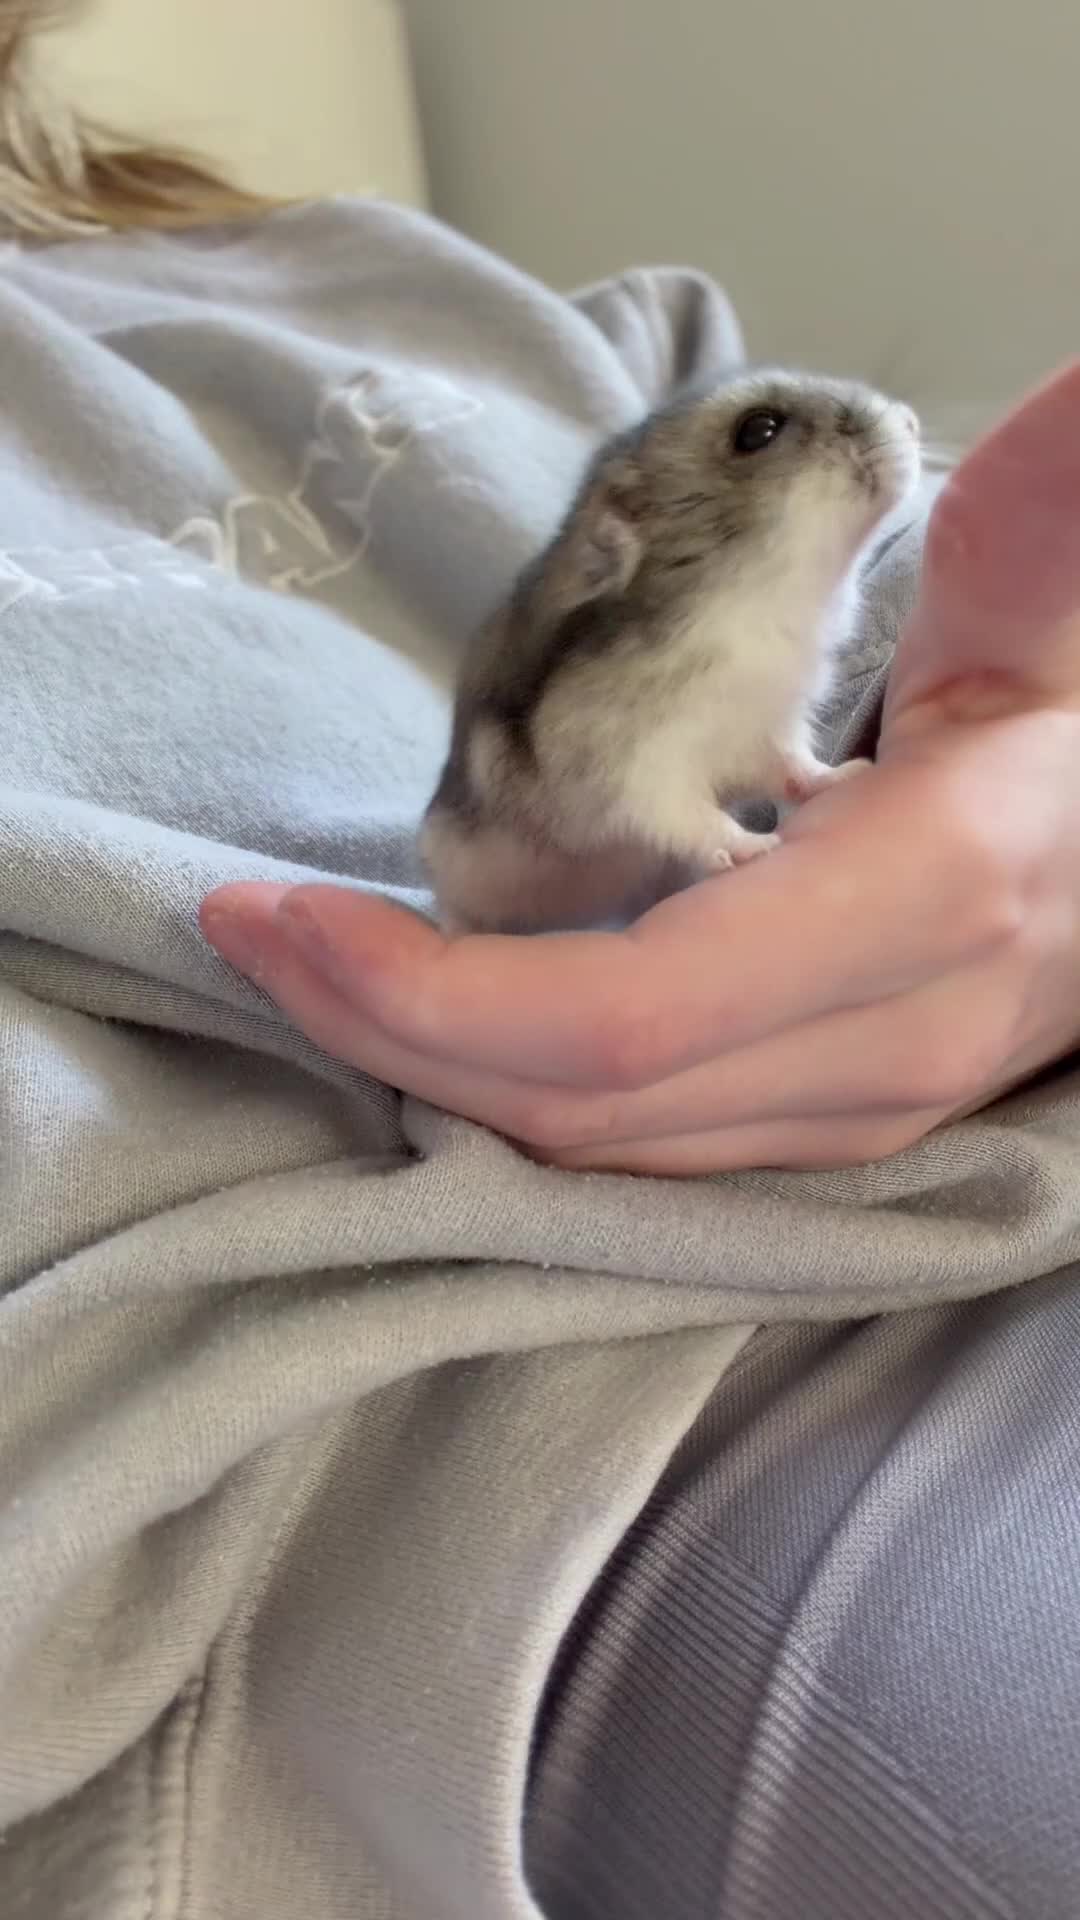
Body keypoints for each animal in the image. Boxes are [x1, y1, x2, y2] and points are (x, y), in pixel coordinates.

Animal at [419, 369, 921, 935]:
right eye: (759, 430)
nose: (911, 421)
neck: (756, 600)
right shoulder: (637, 765)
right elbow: (688, 813)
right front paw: (752, 849)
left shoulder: (770, 728)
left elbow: (797, 767)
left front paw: (849, 775)